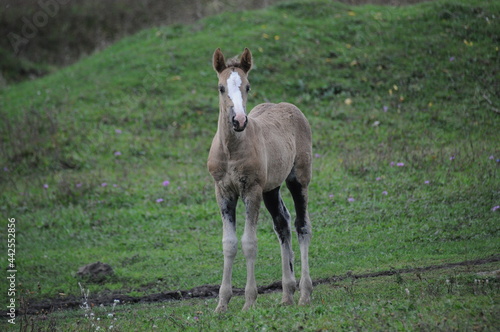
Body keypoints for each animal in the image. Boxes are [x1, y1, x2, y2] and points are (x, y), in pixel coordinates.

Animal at [207, 48, 312, 312]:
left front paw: (249, 301)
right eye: (221, 87)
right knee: (282, 223)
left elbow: (249, 242)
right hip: (271, 188)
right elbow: (229, 243)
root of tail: (291, 107)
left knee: (302, 225)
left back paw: (305, 294)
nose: (239, 120)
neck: (231, 150)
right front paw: (222, 304)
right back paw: (287, 294)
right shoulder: (223, 192)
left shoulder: (251, 190)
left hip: (299, 179)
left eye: (248, 86)